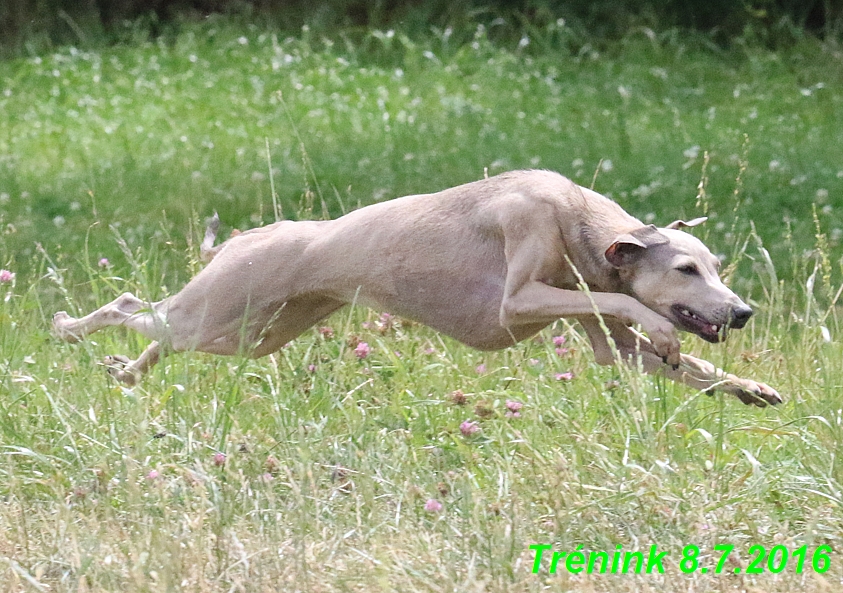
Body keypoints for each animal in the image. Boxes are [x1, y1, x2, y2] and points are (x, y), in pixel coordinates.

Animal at [52, 169, 780, 404]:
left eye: (717, 266)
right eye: (686, 269)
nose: (743, 311)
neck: (579, 221)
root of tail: (244, 236)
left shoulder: (611, 348)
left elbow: (684, 365)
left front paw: (750, 387)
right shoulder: (520, 296)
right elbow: (626, 302)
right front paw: (662, 326)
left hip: (248, 333)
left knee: (160, 335)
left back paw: (125, 374)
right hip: (220, 312)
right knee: (130, 306)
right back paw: (68, 328)